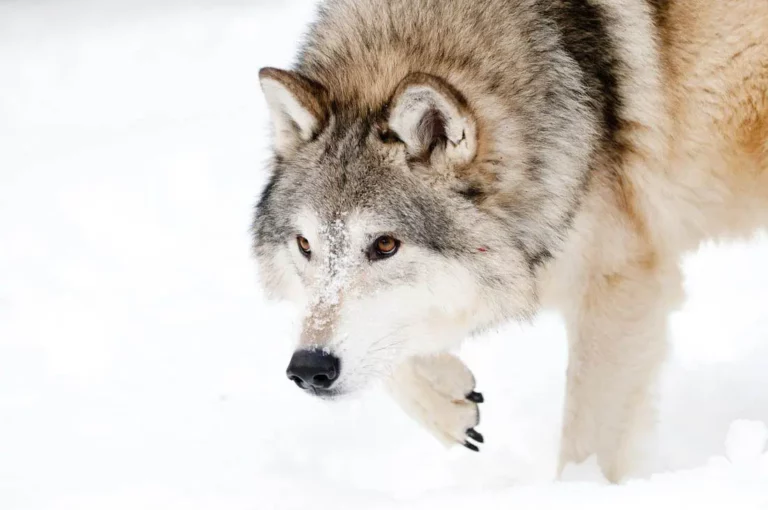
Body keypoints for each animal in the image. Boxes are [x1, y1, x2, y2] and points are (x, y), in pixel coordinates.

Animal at [253, 0, 768, 482]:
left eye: (384, 245)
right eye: (305, 245)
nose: (307, 370)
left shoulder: (620, 282)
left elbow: (590, 439)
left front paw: (580, 490)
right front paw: (450, 401)